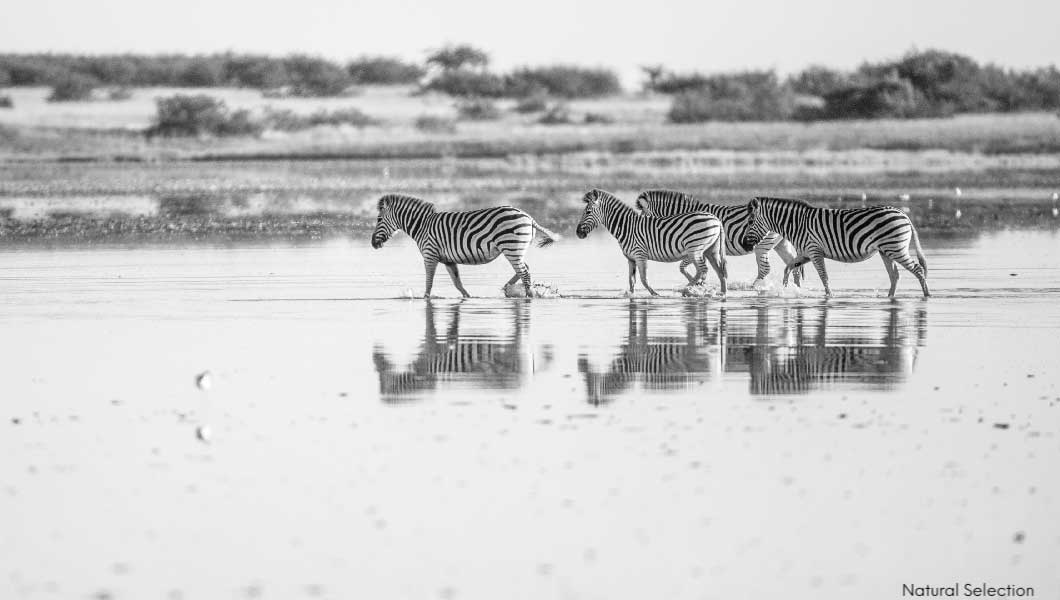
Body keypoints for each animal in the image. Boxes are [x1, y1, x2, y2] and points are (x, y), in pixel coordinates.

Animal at [368, 195, 559, 298]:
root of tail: (528, 217)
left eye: (378, 219)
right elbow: (457, 283)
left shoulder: (430, 255)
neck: (422, 226)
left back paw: (528, 297)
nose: (373, 243)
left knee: (525, 273)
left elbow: (429, 282)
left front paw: (426, 299)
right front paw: (468, 297)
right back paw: (508, 288)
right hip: (515, 249)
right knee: (524, 269)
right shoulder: (448, 260)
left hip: (511, 247)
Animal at [572, 188, 729, 296]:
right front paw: (632, 296)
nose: (578, 233)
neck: (627, 226)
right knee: (719, 272)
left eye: (588, 212)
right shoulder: (631, 258)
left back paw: (687, 290)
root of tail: (716, 219)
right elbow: (632, 281)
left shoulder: (640, 254)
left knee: (703, 270)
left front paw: (655, 294)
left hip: (695, 249)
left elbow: (644, 279)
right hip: (711, 250)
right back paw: (721, 293)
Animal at [631, 191, 805, 288]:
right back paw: (797, 288)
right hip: (781, 243)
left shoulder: (694, 246)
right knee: (793, 265)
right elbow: (686, 268)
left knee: (765, 269)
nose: (637, 233)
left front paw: (697, 283)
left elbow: (682, 267)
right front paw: (699, 283)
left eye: (644, 216)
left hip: (763, 244)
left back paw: (752, 287)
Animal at [737, 197, 928, 298]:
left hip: (896, 248)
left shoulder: (814, 251)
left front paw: (829, 296)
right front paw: (785, 289)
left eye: (750, 221)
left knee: (918, 269)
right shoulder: (806, 253)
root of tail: (903, 214)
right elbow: (788, 268)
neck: (797, 224)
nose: (745, 243)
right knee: (894, 275)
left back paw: (927, 296)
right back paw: (890, 298)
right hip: (885, 251)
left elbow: (824, 276)